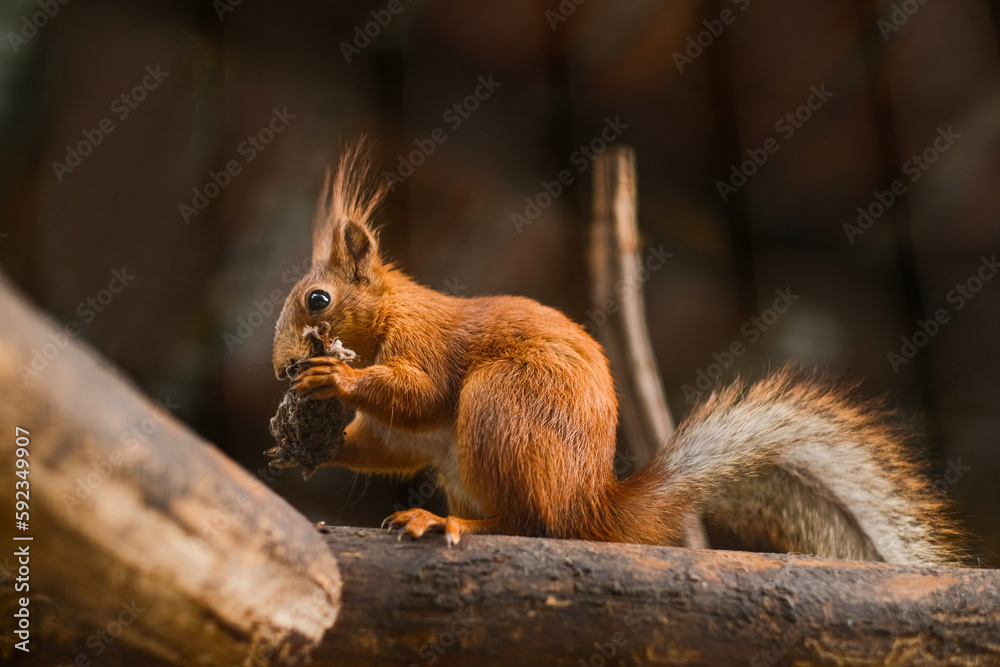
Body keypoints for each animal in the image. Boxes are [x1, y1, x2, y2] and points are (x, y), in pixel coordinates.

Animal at [272, 141, 964, 567]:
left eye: (317, 299)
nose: (282, 367)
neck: (394, 313)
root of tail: (589, 505)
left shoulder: (430, 346)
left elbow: (420, 394)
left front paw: (335, 376)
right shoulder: (416, 438)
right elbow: (392, 444)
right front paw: (302, 449)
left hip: (502, 406)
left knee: (528, 525)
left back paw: (450, 523)